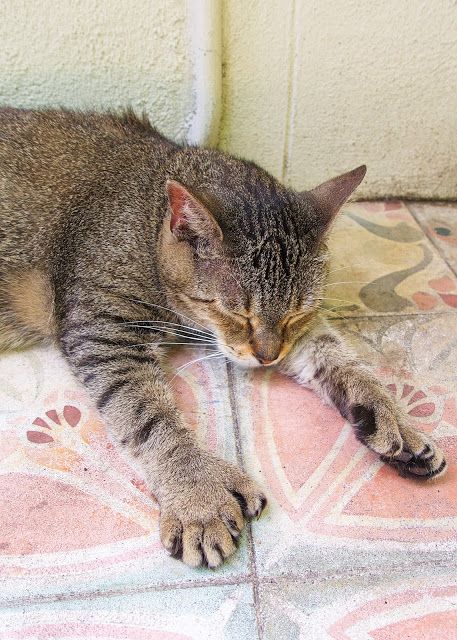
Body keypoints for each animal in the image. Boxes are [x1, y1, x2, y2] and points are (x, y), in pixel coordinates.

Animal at [0, 107, 444, 568]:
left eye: (296, 313)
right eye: (237, 313)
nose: (267, 358)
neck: (145, 213)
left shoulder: (293, 337)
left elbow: (339, 358)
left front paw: (390, 414)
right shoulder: (103, 327)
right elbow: (147, 414)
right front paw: (198, 492)